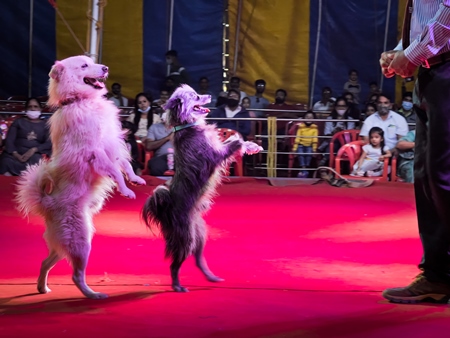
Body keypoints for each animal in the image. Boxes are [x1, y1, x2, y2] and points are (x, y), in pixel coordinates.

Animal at [15, 54, 146, 298]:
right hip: (81, 241)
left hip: (65, 244)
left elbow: (124, 164)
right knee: (76, 276)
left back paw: (42, 287)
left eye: (92, 62)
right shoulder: (95, 152)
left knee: (45, 262)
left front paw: (136, 179)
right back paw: (93, 295)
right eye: (84, 66)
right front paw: (126, 190)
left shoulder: (110, 145)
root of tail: (47, 203)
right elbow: (116, 172)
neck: (80, 100)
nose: (105, 68)